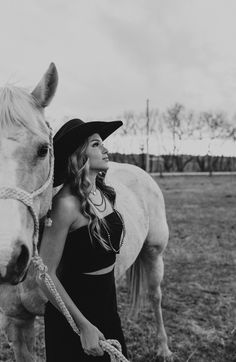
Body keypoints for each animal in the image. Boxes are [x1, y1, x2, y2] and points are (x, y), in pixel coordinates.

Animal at [0, 63, 172, 360]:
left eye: (43, 150)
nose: (5, 259)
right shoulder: (17, 323)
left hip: (154, 253)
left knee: (155, 295)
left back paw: (163, 347)